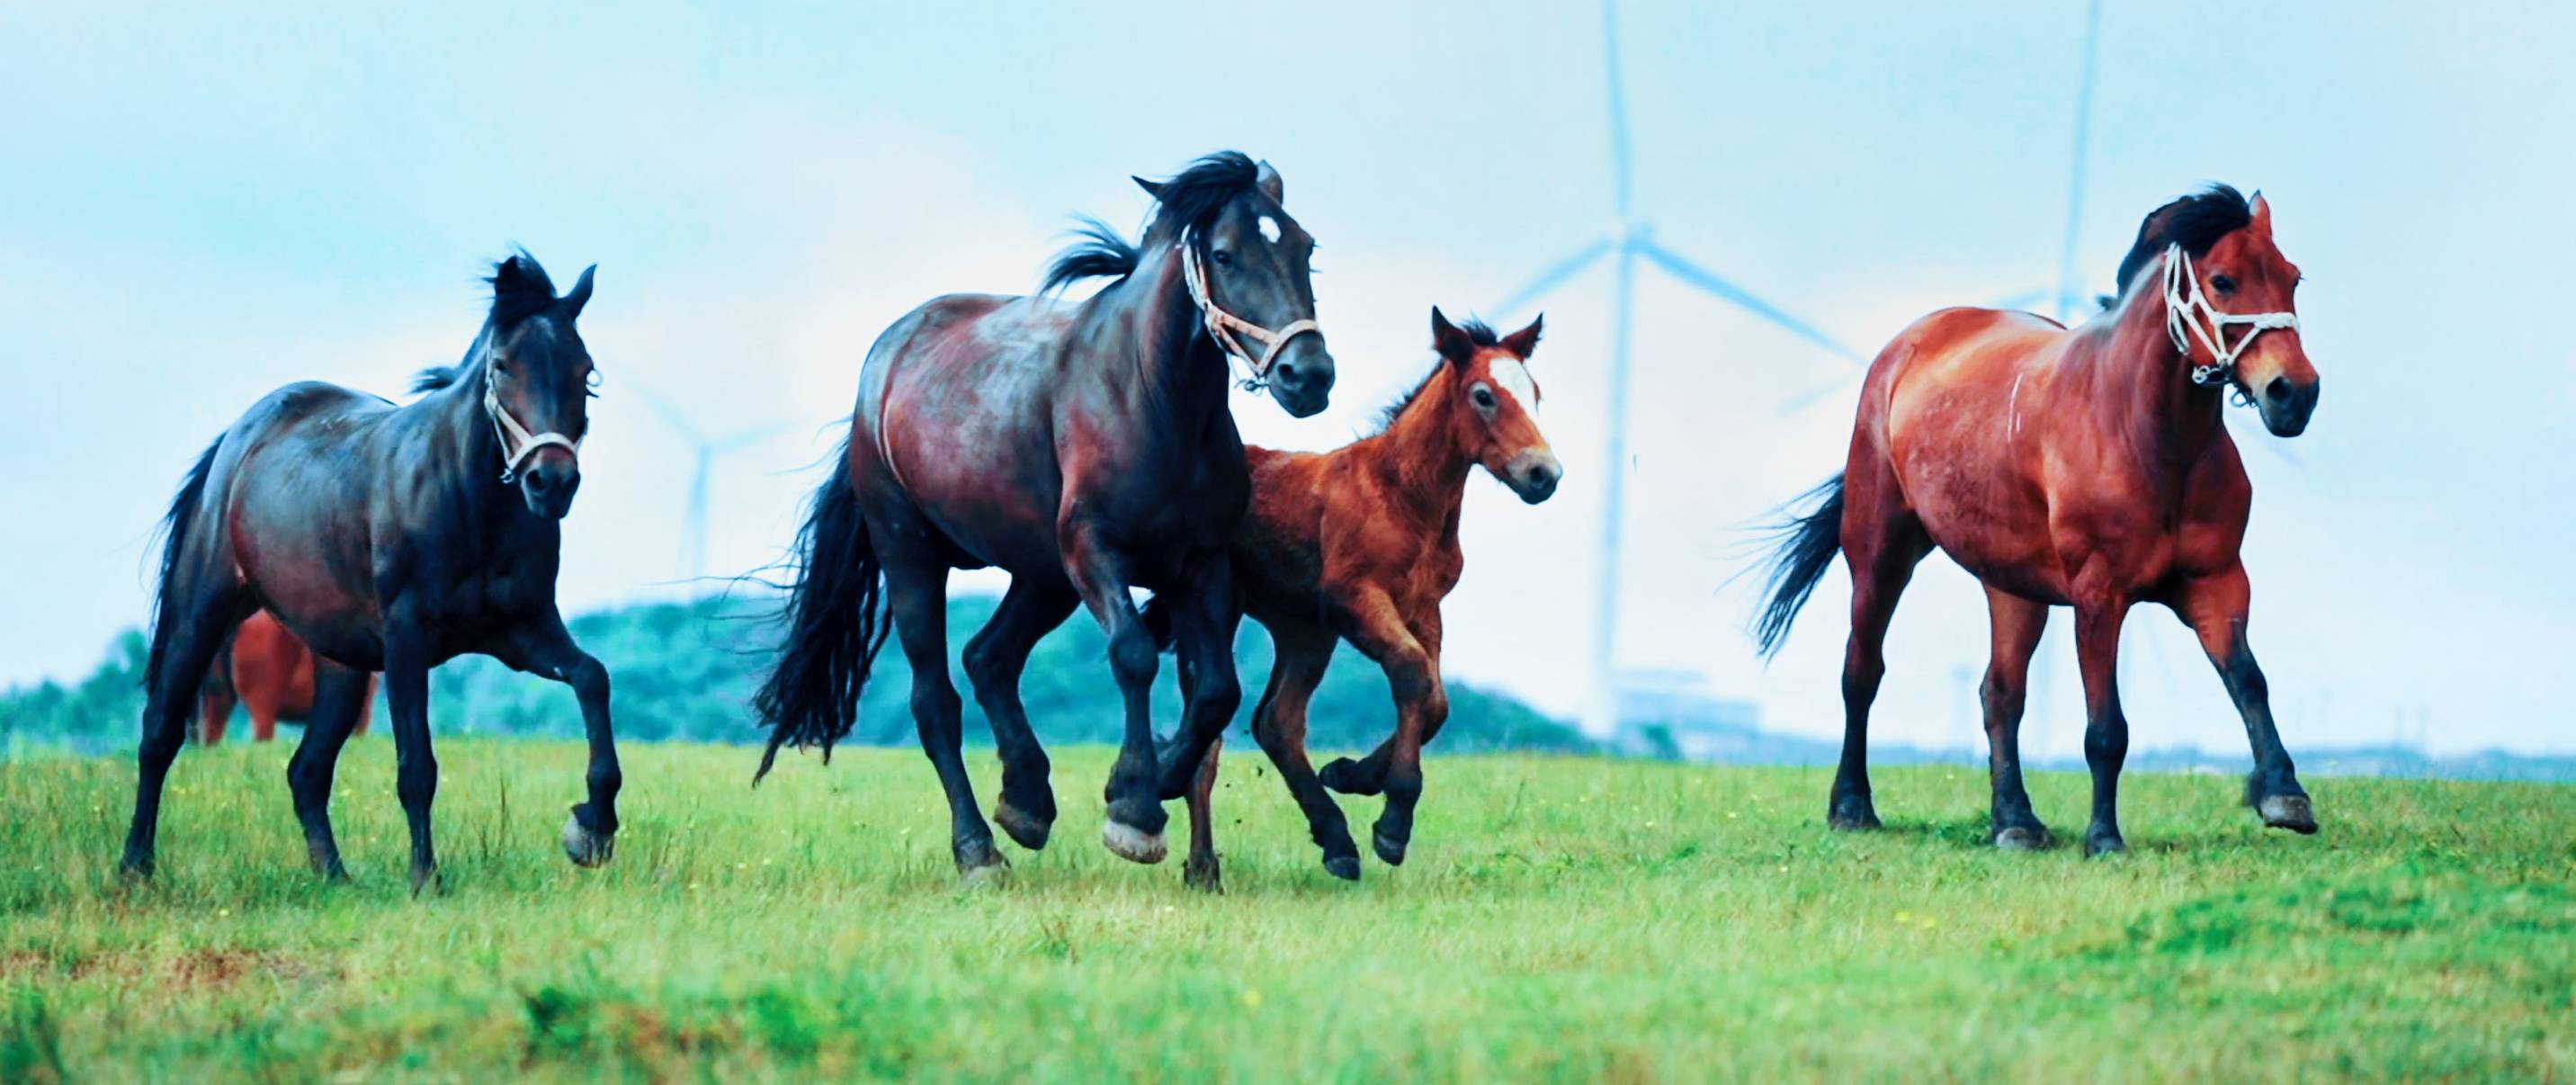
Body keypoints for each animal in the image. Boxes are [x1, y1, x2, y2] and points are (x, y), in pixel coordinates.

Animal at [752, 149, 1339, 881]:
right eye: (1226, 255)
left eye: (1305, 248)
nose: (1308, 375)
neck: (1151, 400)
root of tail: (882, 367)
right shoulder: (1094, 550)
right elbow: (1133, 655)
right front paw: (1134, 811)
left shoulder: (1200, 566)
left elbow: (1216, 692)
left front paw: (1150, 784)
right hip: (912, 554)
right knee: (934, 698)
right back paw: (978, 849)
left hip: (1041, 575)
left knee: (988, 659)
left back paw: (1027, 803)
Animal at [1179, 304, 1555, 886]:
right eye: (1483, 395)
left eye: (1533, 392)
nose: (1543, 474)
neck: (1402, 496)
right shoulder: (1354, 598)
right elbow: (1411, 672)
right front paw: (1393, 823)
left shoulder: (1424, 609)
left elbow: (1437, 699)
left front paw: (1351, 773)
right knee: (1215, 731)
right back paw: (1205, 865)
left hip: (1302, 629)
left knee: (1276, 722)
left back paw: (1331, 841)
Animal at [1761, 185, 2329, 856]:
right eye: (2223, 280)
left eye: (2292, 278)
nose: (2294, 394)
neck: (2142, 433)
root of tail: (1907, 346)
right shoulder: (2099, 595)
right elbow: (2106, 727)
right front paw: (2104, 838)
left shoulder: (2216, 581)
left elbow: (2248, 679)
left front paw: (2284, 794)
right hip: (1880, 555)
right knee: (1862, 672)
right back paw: (1852, 805)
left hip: (2013, 589)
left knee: (1999, 694)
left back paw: (2014, 820)